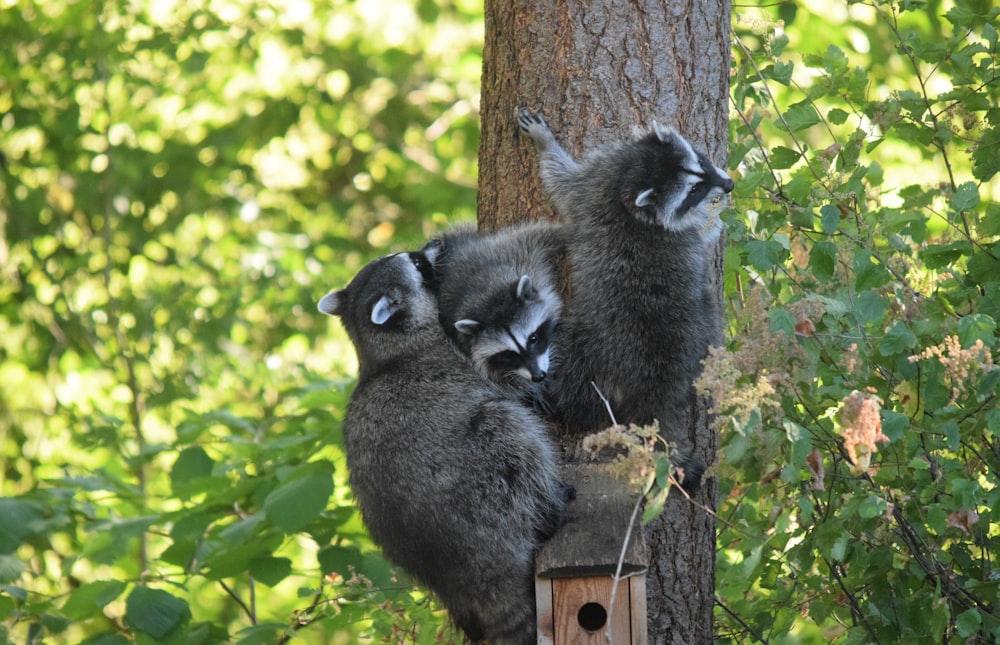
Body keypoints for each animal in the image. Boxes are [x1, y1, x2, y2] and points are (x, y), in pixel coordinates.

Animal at [318, 248, 572, 644]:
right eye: (417, 265)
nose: (430, 249)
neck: (383, 348)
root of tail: (466, 575)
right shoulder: (460, 360)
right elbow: (510, 389)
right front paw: (540, 387)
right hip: (482, 487)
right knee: (510, 433)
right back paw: (549, 504)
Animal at [516, 108, 736, 488]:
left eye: (702, 164)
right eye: (693, 189)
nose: (729, 185)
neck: (633, 175)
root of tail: (656, 384)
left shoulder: (597, 182)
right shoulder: (595, 183)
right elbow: (562, 182)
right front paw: (547, 145)